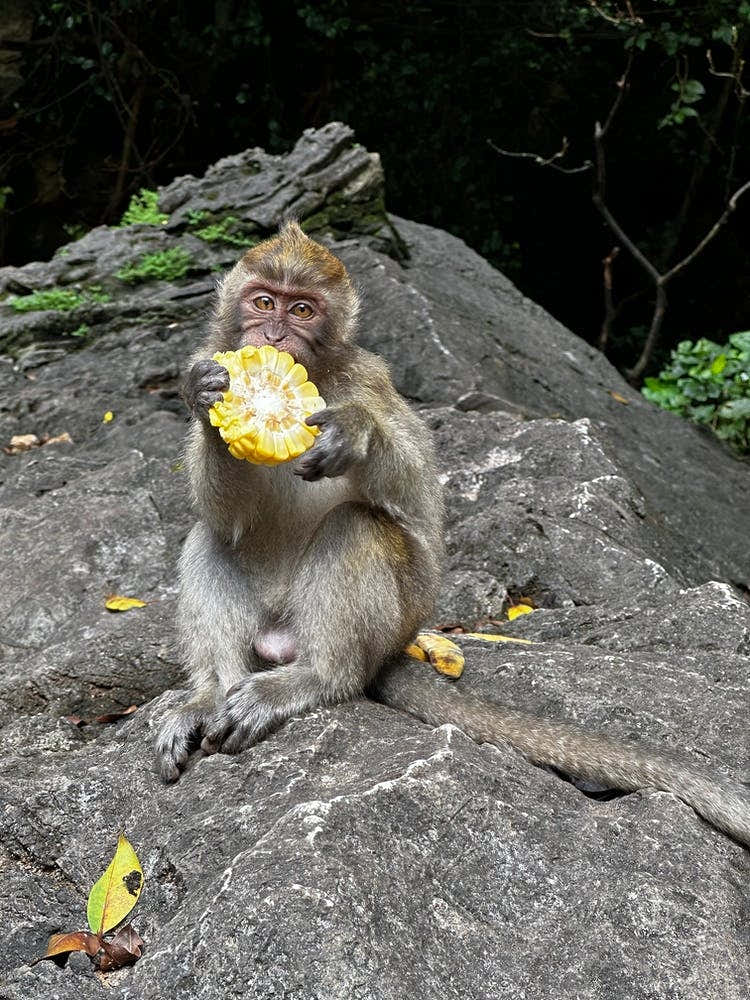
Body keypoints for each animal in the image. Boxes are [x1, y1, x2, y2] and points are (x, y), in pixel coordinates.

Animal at [155, 220, 750, 849]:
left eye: (303, 310)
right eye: (264, 302)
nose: (273, 334)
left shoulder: (370, 380)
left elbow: (416, 494)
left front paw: (357, 432)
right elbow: (224, 514)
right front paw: (207, 397)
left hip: (396, 617)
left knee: (357, 529)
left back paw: (317, 678)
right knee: (209, 538)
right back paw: (210, 694)